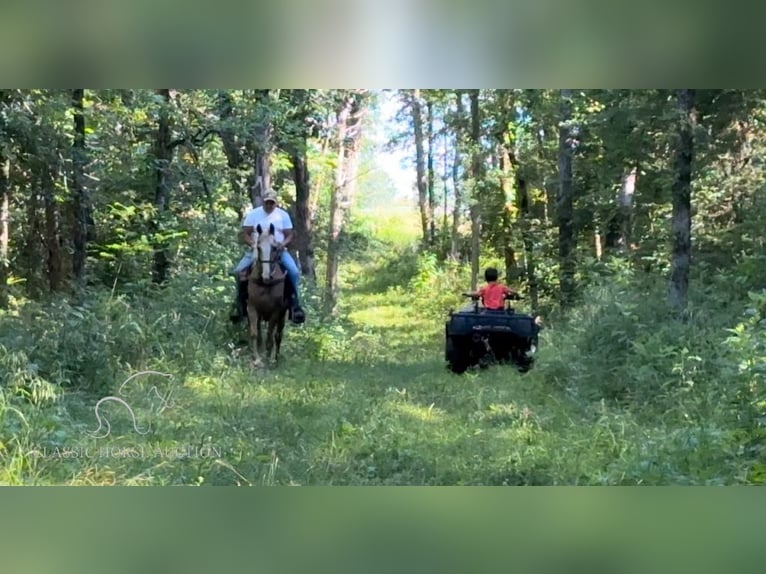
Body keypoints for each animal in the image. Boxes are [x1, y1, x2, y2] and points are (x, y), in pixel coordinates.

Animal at [248, 223, 292, 366]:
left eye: (274, 248)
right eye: (258, 247)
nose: (266, 276)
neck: (265, 285)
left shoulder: (276, 312)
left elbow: (270, 336)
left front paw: (267, 359)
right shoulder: (252, 308)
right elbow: (254, 334)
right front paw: (256, 358)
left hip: (283, 315)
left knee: (278, 335)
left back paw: (275, 359)